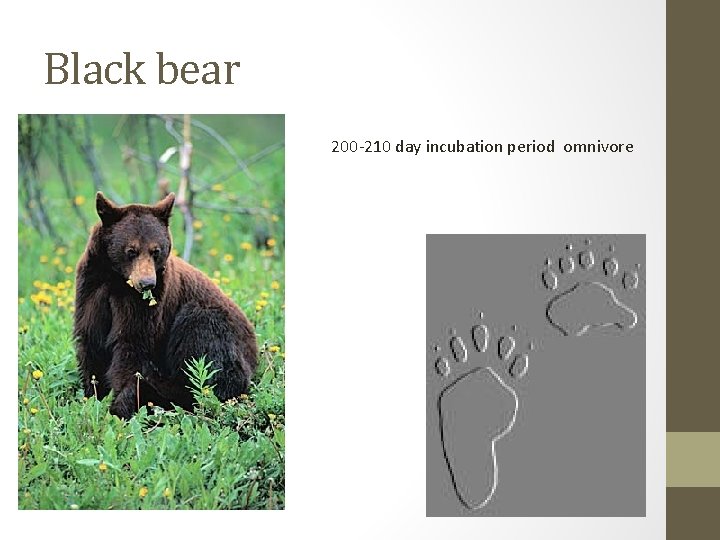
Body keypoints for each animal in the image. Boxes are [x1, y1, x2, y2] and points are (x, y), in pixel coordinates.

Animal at [73, 192, 257, 419]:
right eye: (131, 250)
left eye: (156, 251)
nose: (147, 283)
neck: (117, 280)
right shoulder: (91, 288)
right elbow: (91, 342)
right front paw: (94, 395)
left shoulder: (147, 304)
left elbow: (132, 347)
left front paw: (121, 405)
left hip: (211, 325)